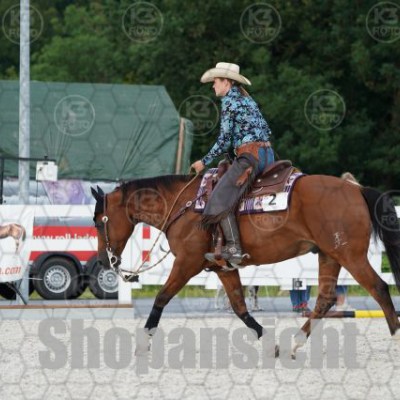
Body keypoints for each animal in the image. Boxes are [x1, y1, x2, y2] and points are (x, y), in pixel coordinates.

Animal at [91, 172, 400, 357]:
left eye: (98, 221)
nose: (105, 260)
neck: (185, 206)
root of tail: (355, 189)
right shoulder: (221, 268)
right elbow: (240, 307)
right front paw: (268, 342)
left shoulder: (187, 262)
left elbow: (162, 297)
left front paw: (143, 342)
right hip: (329, 255)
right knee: (325, 300)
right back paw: (295, 342)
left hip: (350, 255)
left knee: (379, 288)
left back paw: (396, 337)